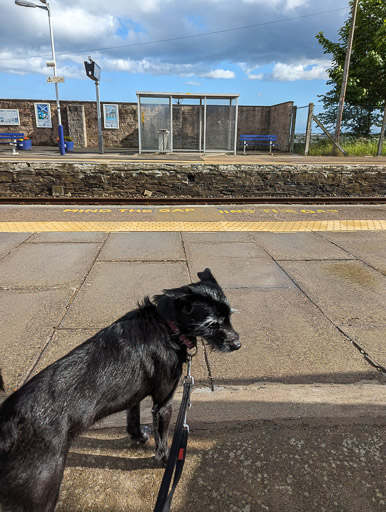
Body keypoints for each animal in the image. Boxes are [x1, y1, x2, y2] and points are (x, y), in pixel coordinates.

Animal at [0, 270, 240, 510]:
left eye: (229, 316)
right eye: (212, 323)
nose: (237, 345)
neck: (165, 325)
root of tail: (7, 424)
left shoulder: (133, 397)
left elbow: (132, 420)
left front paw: (139, 437)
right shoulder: (163, 404)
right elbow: (162, 440)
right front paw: (165, 462)